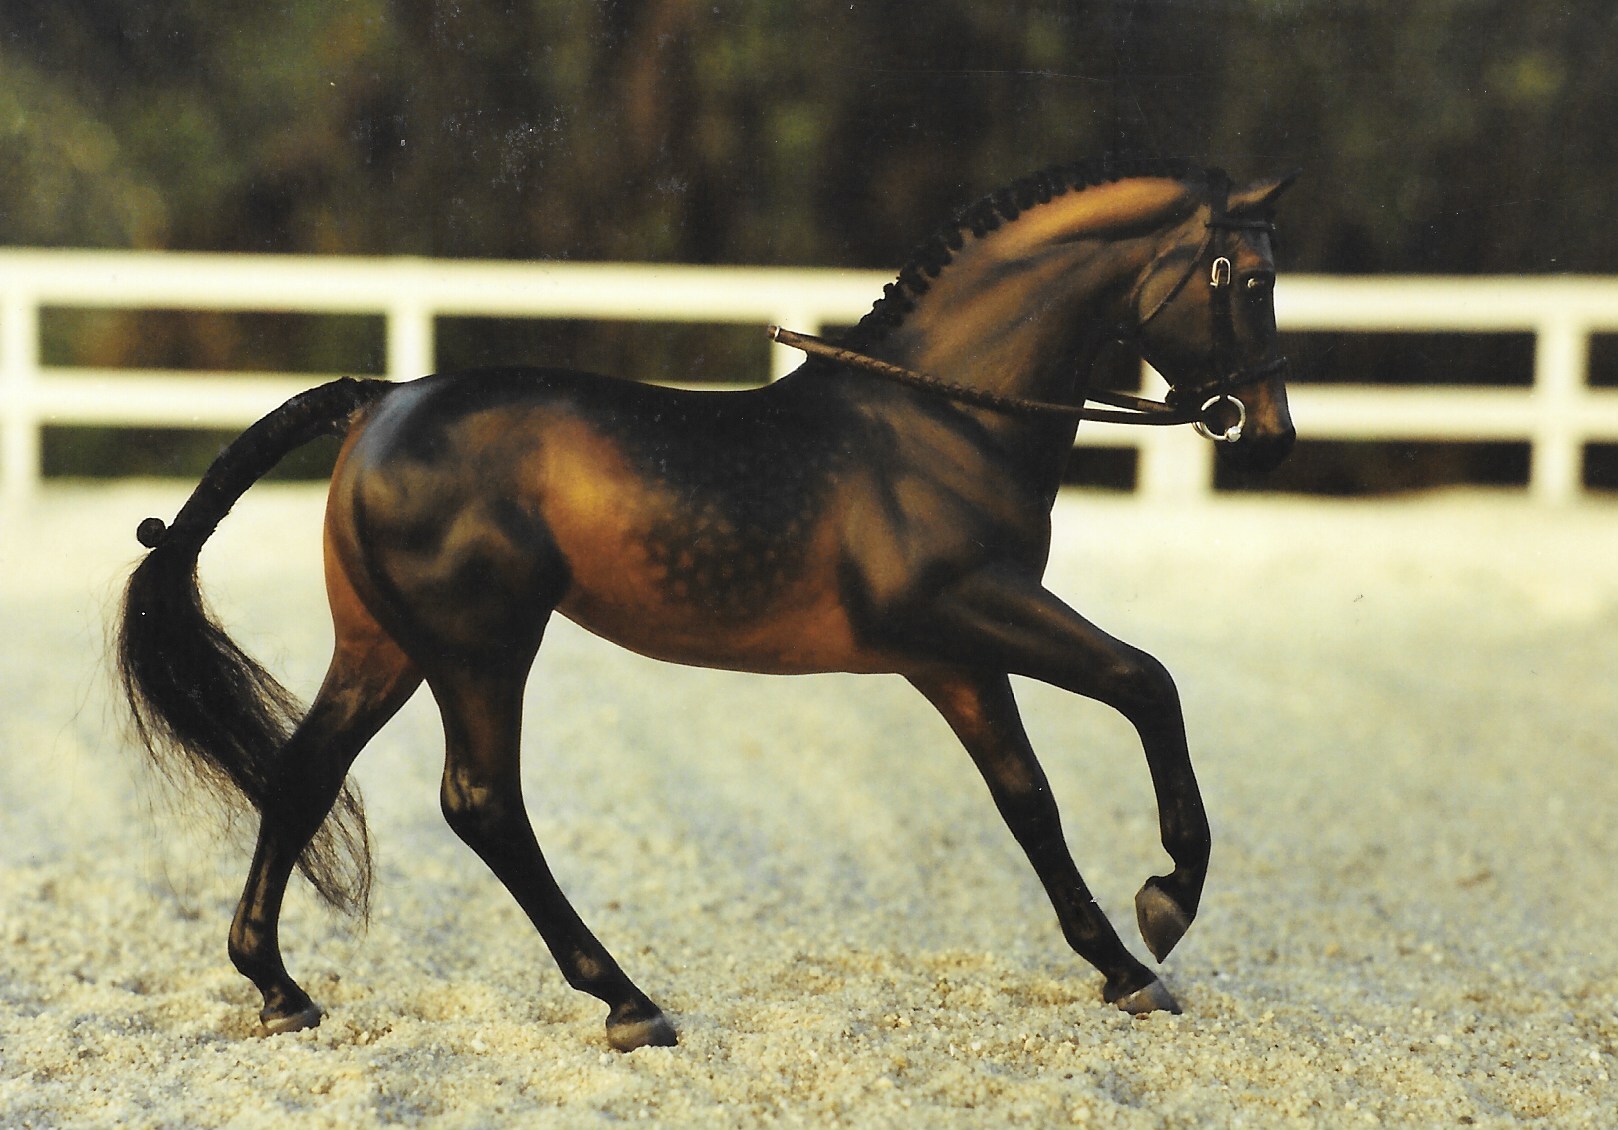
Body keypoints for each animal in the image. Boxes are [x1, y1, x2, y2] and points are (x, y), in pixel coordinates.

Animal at [119, 158, 1294, 1049]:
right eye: (1242, 274)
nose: (1269, 431)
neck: (944, 424)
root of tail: (380, 401)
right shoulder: (968, 612)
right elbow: (1145, 681)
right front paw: (1168, 901)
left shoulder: (954, 655)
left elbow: (1027, 797)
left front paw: (1122, 965)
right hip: (481, 646)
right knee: (480, 800)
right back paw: (626, 1000)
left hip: (384, 646)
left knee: (302, 775)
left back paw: (279, 987)